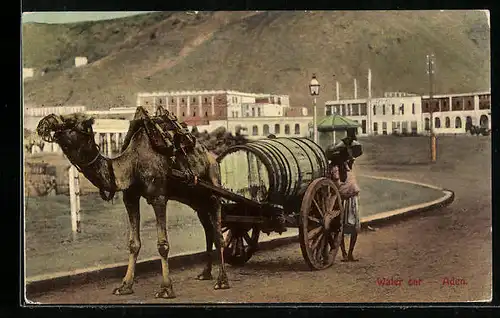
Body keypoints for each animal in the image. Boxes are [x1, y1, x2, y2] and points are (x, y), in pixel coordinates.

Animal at [35, 109, 230, 298]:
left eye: (71, 121)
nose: (44, 122)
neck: (131, 165)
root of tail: (212, 157)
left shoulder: (159, 197)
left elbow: (163, 245)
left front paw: (166, 289)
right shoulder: (130, 198)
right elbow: (133, 243)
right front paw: (124, 286)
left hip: (213, 186)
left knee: (218, 234)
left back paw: (222, 281)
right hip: (196, 199)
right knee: (208, 231)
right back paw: (205, 273)